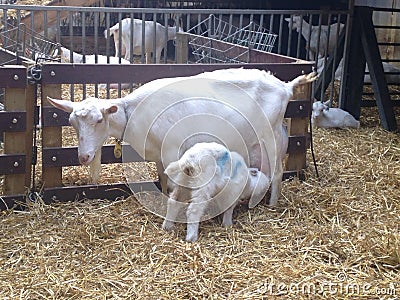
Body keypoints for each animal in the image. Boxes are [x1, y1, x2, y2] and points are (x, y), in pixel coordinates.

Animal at [45, 68, 318, 206]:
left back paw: (271, 203)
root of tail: (285, 87)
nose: (83, 157)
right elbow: (163, 179)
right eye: (71, 123)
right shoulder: (159, 155)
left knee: (278, 171)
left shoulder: (172, 150)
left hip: (271, 136)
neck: (133, 111)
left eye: (99, 120)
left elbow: (175, 182)